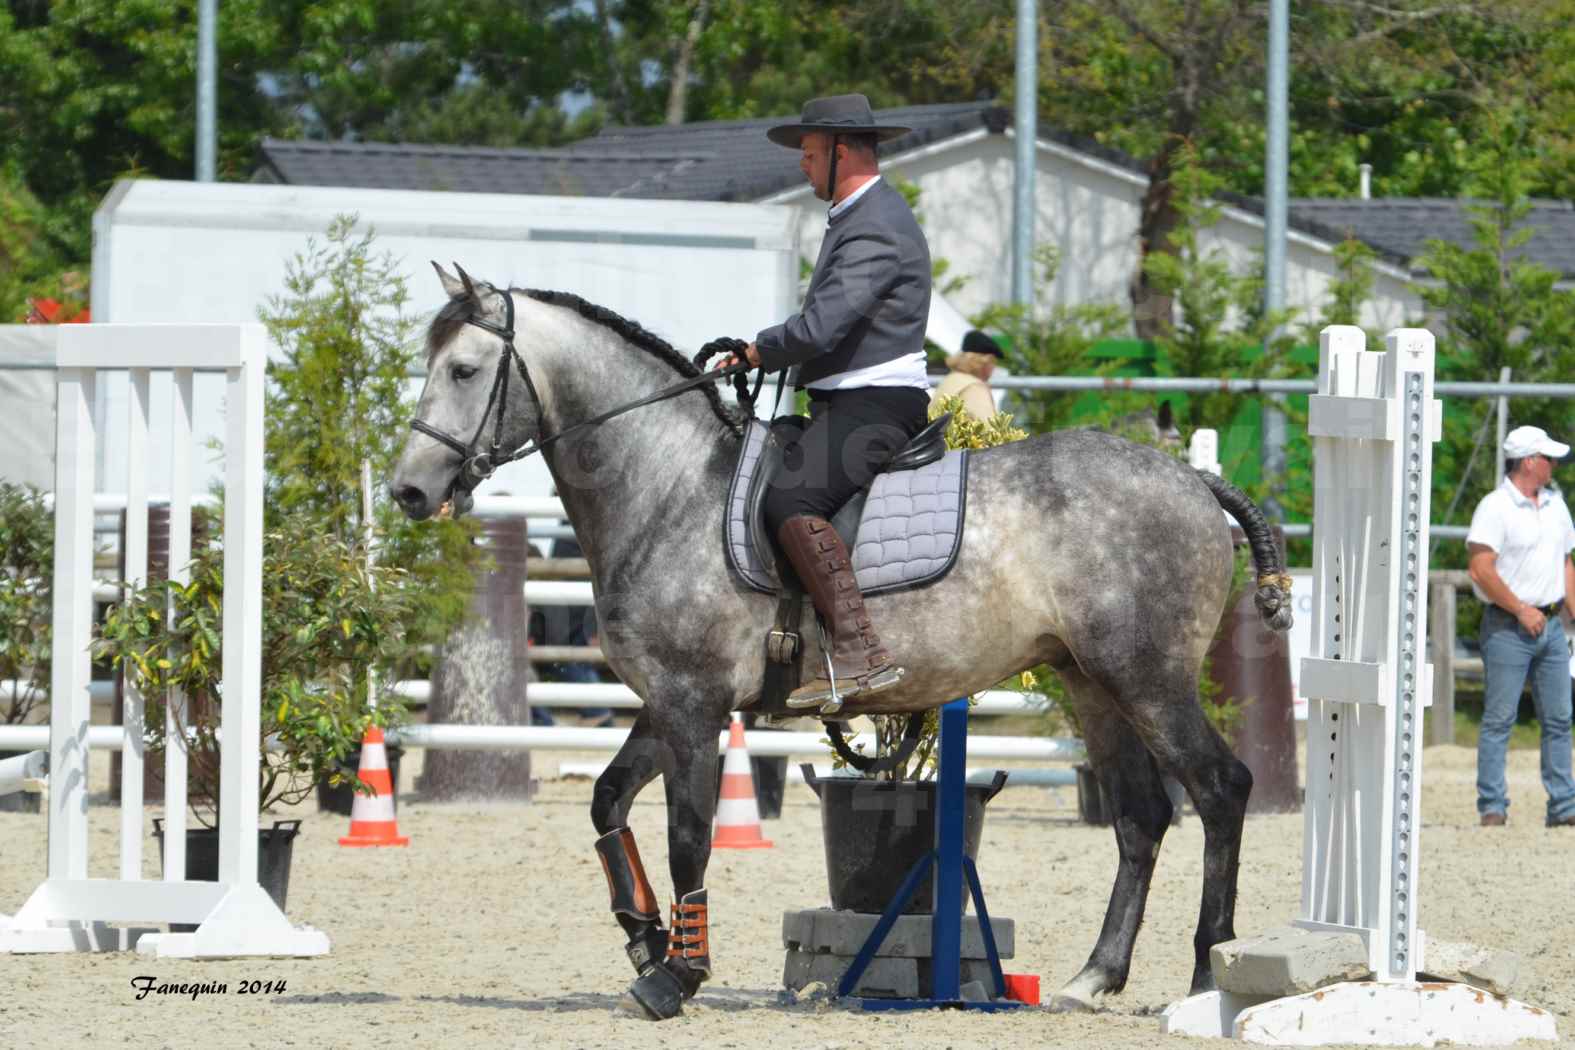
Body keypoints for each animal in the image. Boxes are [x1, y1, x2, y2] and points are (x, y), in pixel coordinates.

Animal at [393, 267, 1291, 1020]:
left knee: (1219, 791)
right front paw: (645, 937)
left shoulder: (692, 706)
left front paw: (676, 975)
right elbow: (607, 802)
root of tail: (1188, 477)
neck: (667, 487)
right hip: (1089, 682)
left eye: (464, 371)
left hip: (1147, 678)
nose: (408, 491)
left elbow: (688, 836)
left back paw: (1208, 974)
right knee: (1140, 817)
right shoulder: (664, 703)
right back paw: (1092, 977)